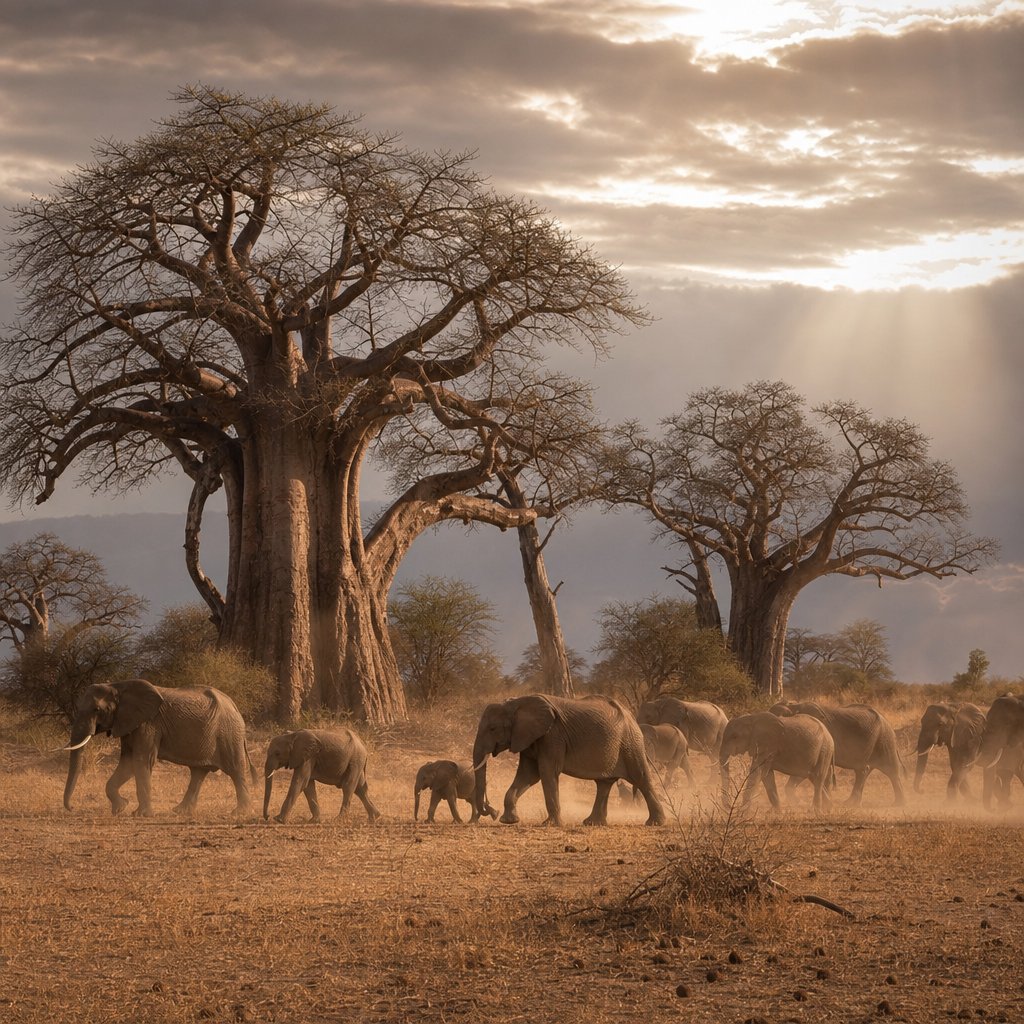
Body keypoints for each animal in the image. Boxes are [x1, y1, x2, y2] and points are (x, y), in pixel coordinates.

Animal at [61, 679, 255, 817]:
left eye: (96, 710)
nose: (72, 808)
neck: (117, 686)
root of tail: (234, 705)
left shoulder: (148, 724)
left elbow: (140, 761)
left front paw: (140, 815)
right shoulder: (129, 723)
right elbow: (127, 762)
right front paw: (121, 808)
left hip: (229, 734)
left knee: (235, 770)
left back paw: (240, 813)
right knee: (198, 772)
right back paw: (180, 812)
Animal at [472, 693, 665, 827]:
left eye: (492, 728)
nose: (491, 810)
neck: (516, 703)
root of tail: (631, 716)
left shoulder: (552, 735)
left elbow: (546, 772)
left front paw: (550, 825)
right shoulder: (528, 738)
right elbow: (528, 775)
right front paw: (508, 821)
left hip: (630, 743)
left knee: (641, 778)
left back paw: (655, 823)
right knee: (603, 784)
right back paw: (592, 823)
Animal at [771, 701, 905, 806]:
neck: (794, 706)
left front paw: (799, 802)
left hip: (884, 739)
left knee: (891, 770)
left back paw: (898, 804)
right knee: (863, 770)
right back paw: (851, 803)